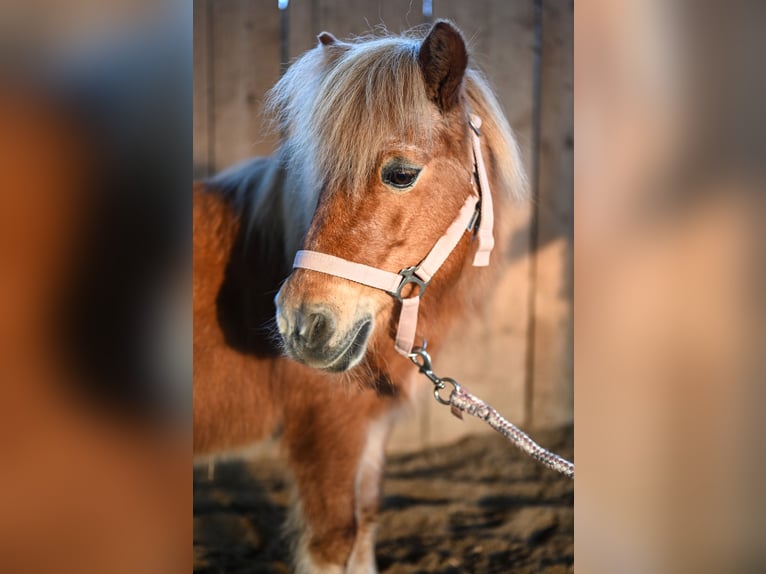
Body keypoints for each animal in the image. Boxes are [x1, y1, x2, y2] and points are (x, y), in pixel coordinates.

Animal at [192, 20, 528, 572]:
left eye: (401, 173)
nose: (300, 324)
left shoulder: (367, 429)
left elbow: (365, 524)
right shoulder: (327, 433)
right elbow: (336, 541)